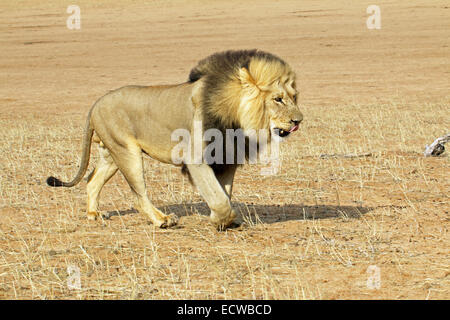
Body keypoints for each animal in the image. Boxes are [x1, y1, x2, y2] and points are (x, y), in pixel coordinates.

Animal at [46, 49, 302, 230]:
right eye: (278, 99)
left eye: (294, 97)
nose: (299, 120)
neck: (235, 119)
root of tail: (96, 103)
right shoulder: (196, 158)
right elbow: (219, 197)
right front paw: (221, 220)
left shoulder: (227, 158)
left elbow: (224, 192)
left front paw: (223, 220)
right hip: (127, 153)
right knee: (138, 195)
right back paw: (162, 220)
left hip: (111, 153)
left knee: (92, 181)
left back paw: (94, 214)